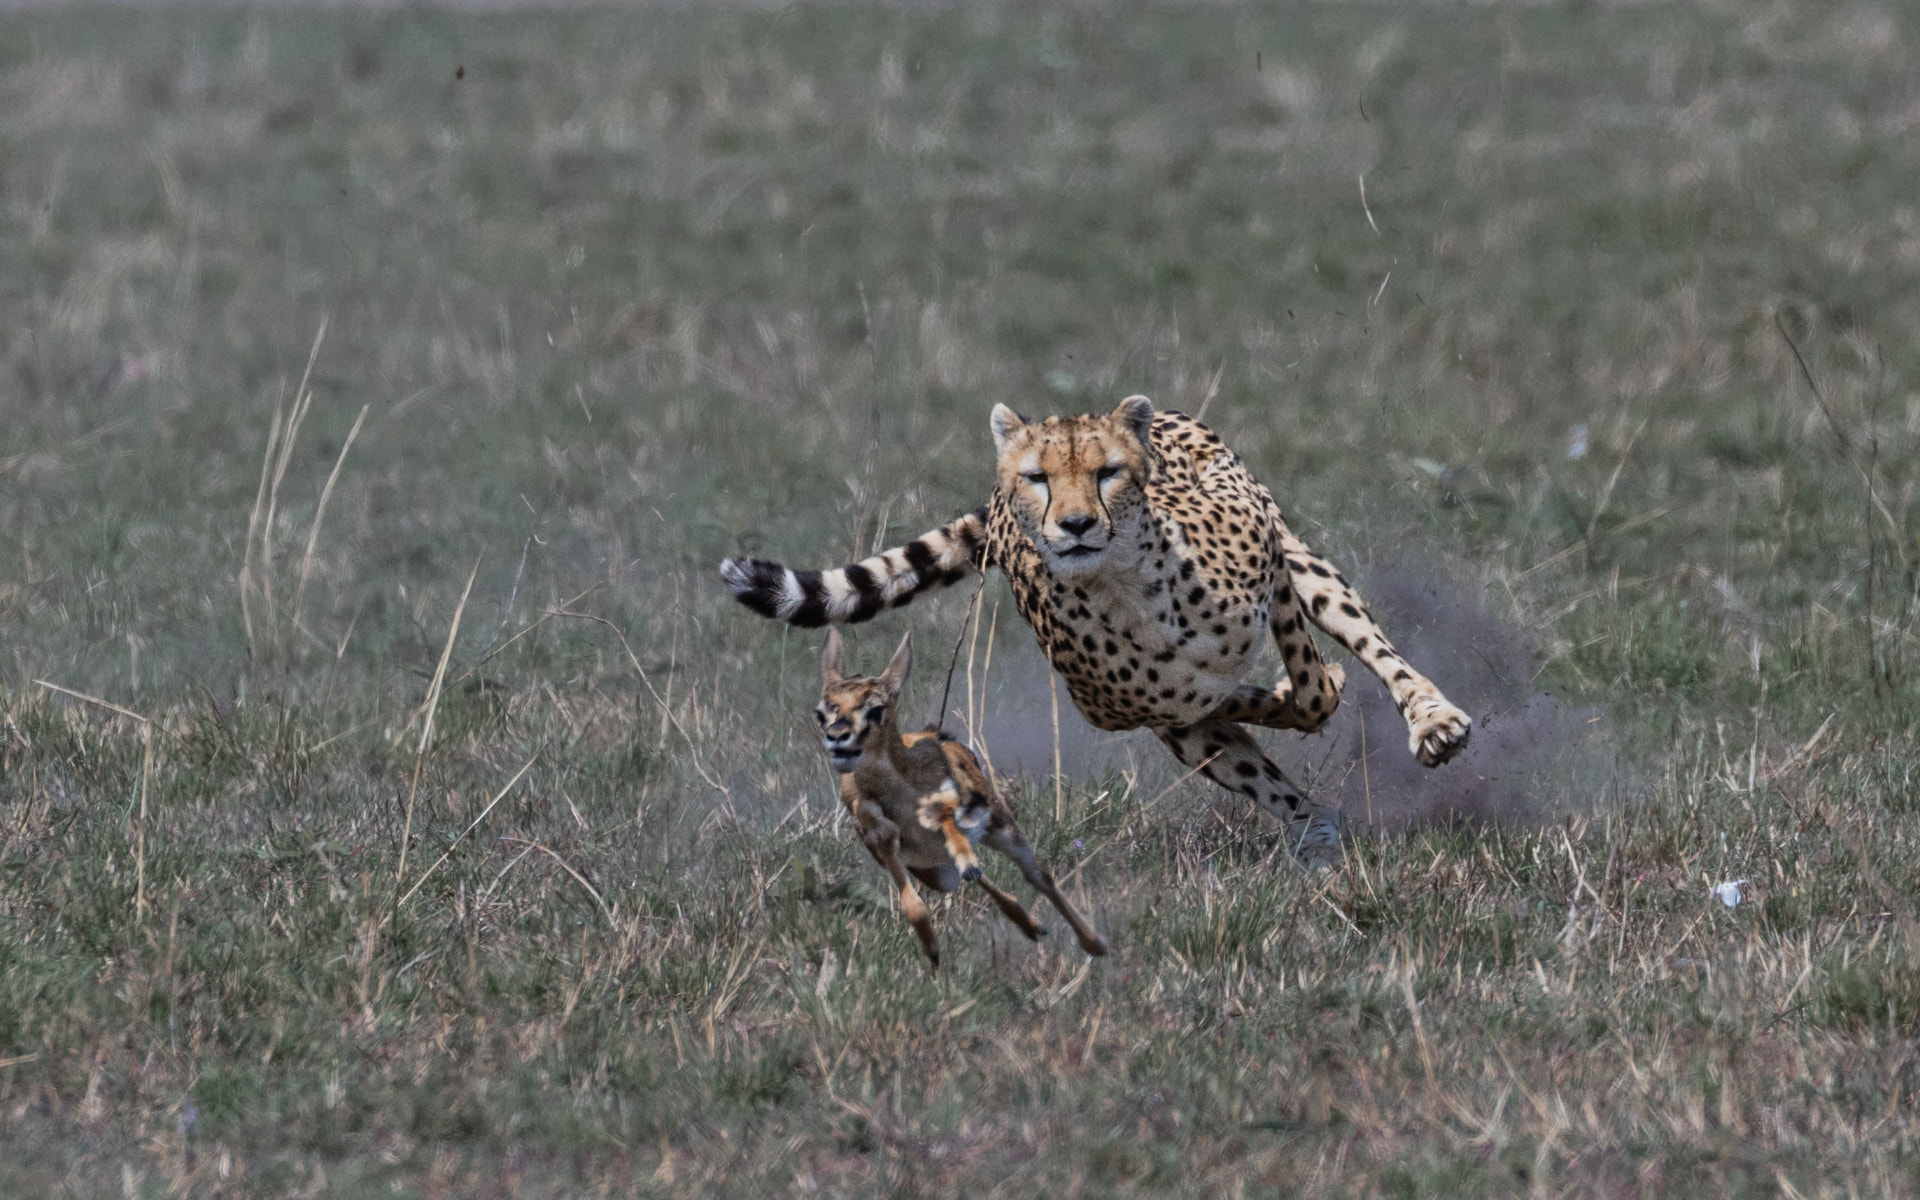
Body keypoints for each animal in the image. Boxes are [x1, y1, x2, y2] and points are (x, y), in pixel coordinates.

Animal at [724, 395, 1472, 863]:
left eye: (1107, 472)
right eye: (1039, 478)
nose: (1076, 524)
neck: (1129, 586)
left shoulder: (1264, 552)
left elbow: (1315, 688)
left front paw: (1320, 688)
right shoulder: (1135, 712)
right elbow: (1241, 703)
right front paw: (1274, 704)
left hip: (1298, 554)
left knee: (1370, 649)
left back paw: (1432, 722)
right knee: (1264, 770)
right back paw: (1318, 828)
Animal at [815, 628, 1109, 970]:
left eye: (875, 708)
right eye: (822, 711)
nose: (838, 737)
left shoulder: (955, 808)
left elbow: (950, 824)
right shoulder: (882, 840)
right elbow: (912, 903)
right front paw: (932, 953)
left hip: (1003, 830)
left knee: (1038, 874)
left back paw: (1093, 943)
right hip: (936, 873)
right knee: (976, 880)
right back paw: (1032, 926)